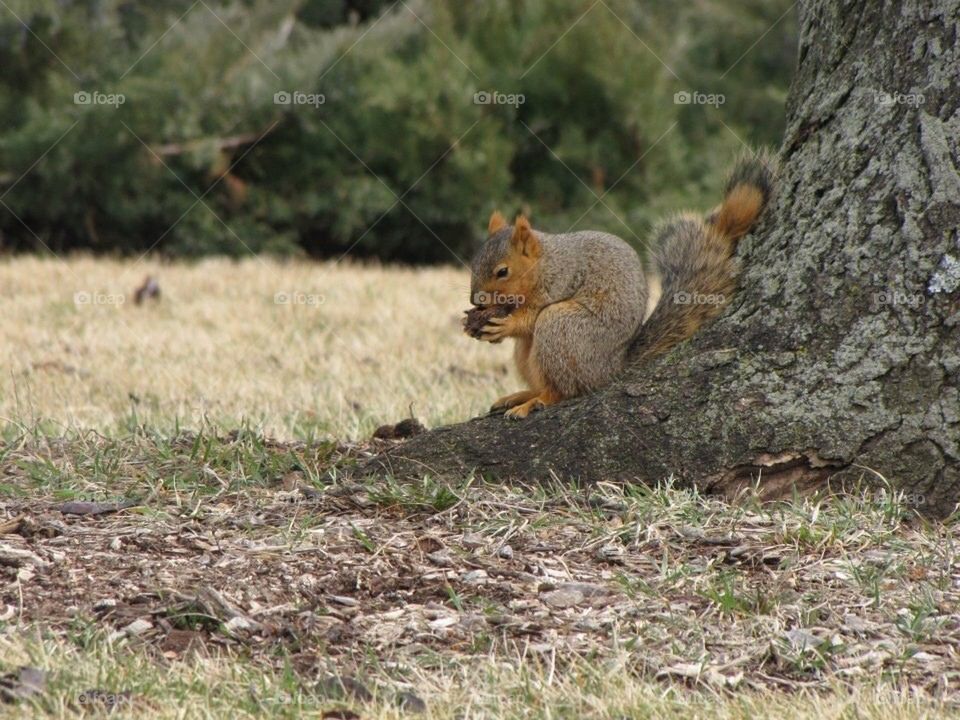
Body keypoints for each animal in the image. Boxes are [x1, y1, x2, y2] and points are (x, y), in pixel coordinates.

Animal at [465, 152, 775, 419]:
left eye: (503, 271)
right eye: (475, 260)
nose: (475, 301)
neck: (544, 263)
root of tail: (611, 369)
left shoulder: (561, 281)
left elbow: (529, 319)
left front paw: (505, 324)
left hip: (561, 327)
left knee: (563, 390)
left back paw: (534, 402)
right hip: (530, 351)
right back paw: (520, 396)